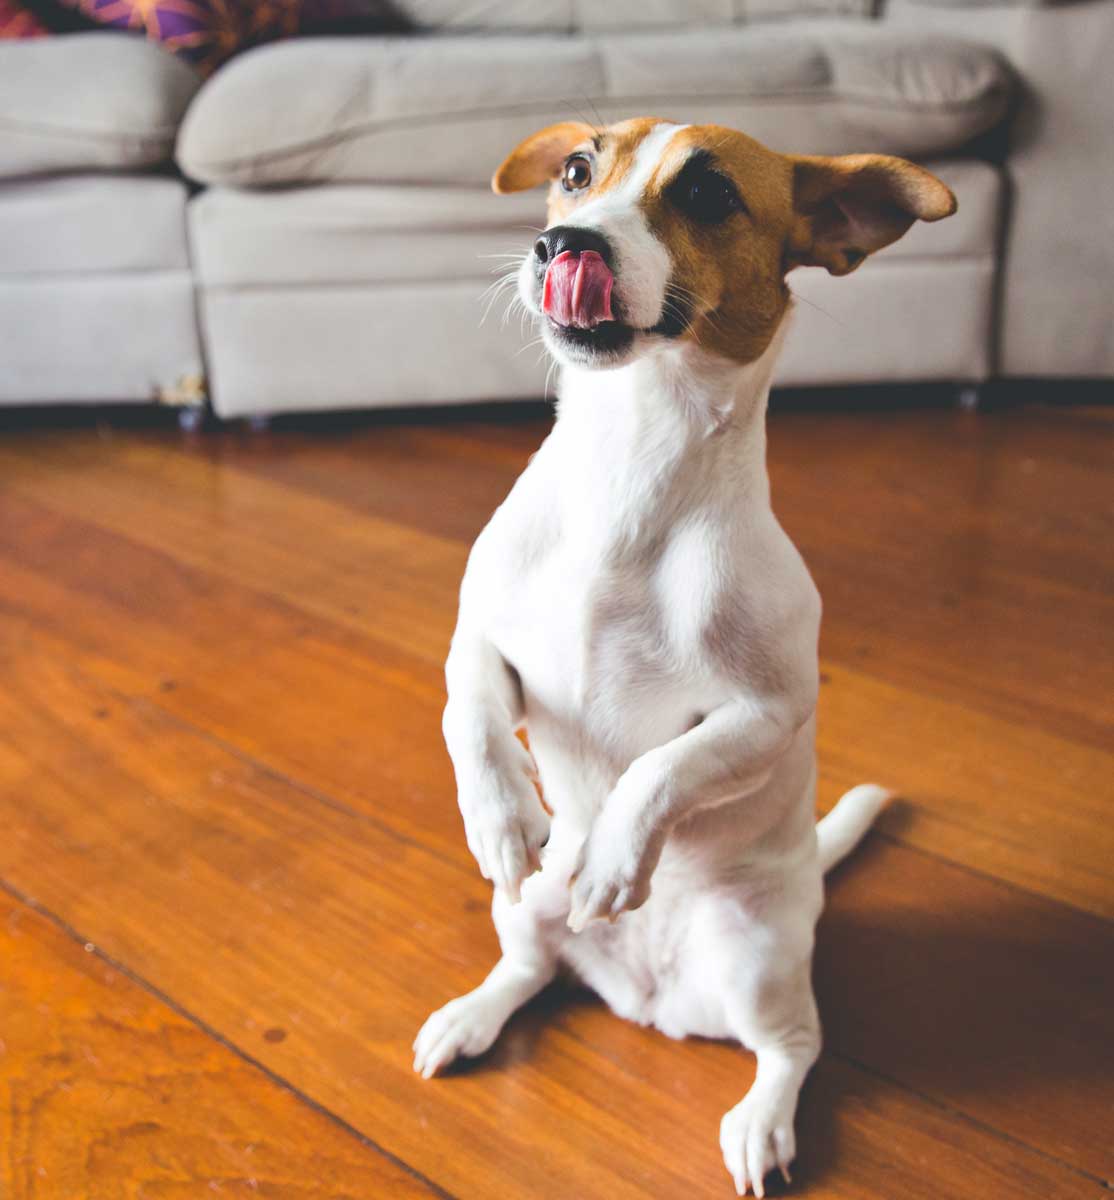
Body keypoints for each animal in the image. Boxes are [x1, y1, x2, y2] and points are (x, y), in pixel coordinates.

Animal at [412, 119, 950, 1190]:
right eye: (577, 171)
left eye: (707, 193)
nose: (564, 244)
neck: (629, 464)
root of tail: (645, 999)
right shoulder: (481, 640)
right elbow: (472, 716)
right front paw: (499, 815)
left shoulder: (763, 713)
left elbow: (662, 771)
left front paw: (619, 855)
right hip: (526, 909)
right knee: (527, 969)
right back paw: (471, 1014)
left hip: (757, 958)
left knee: (794, 1046)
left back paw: (760, 1125)